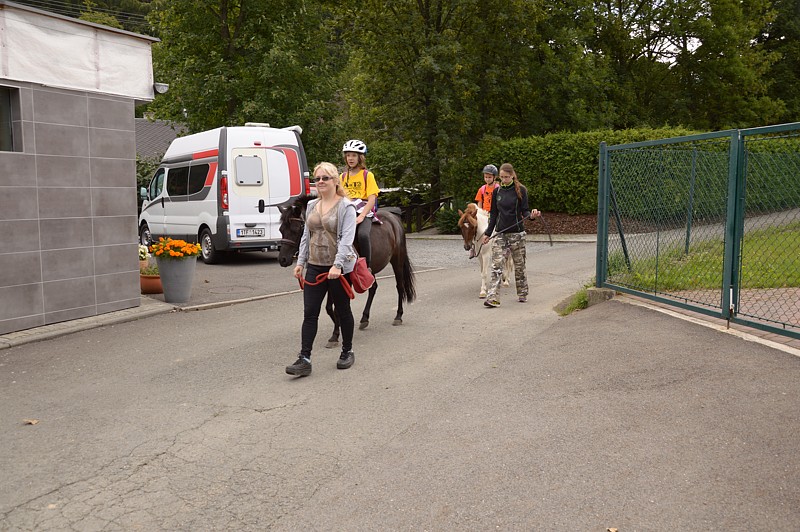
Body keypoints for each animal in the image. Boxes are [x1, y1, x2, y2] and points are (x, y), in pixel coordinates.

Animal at [278, 195, 416, 350]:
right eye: (281, 229)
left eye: (295, 229)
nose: (282, 259)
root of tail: (394, 219)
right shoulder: (328, 278)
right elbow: (329, 308)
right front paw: (336, 333)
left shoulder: (344, 280)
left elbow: (337, 308)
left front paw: (337, 334)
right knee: (373, 288)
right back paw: (364, 318)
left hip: (397, 261)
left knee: (400, 286)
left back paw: (398, 316)